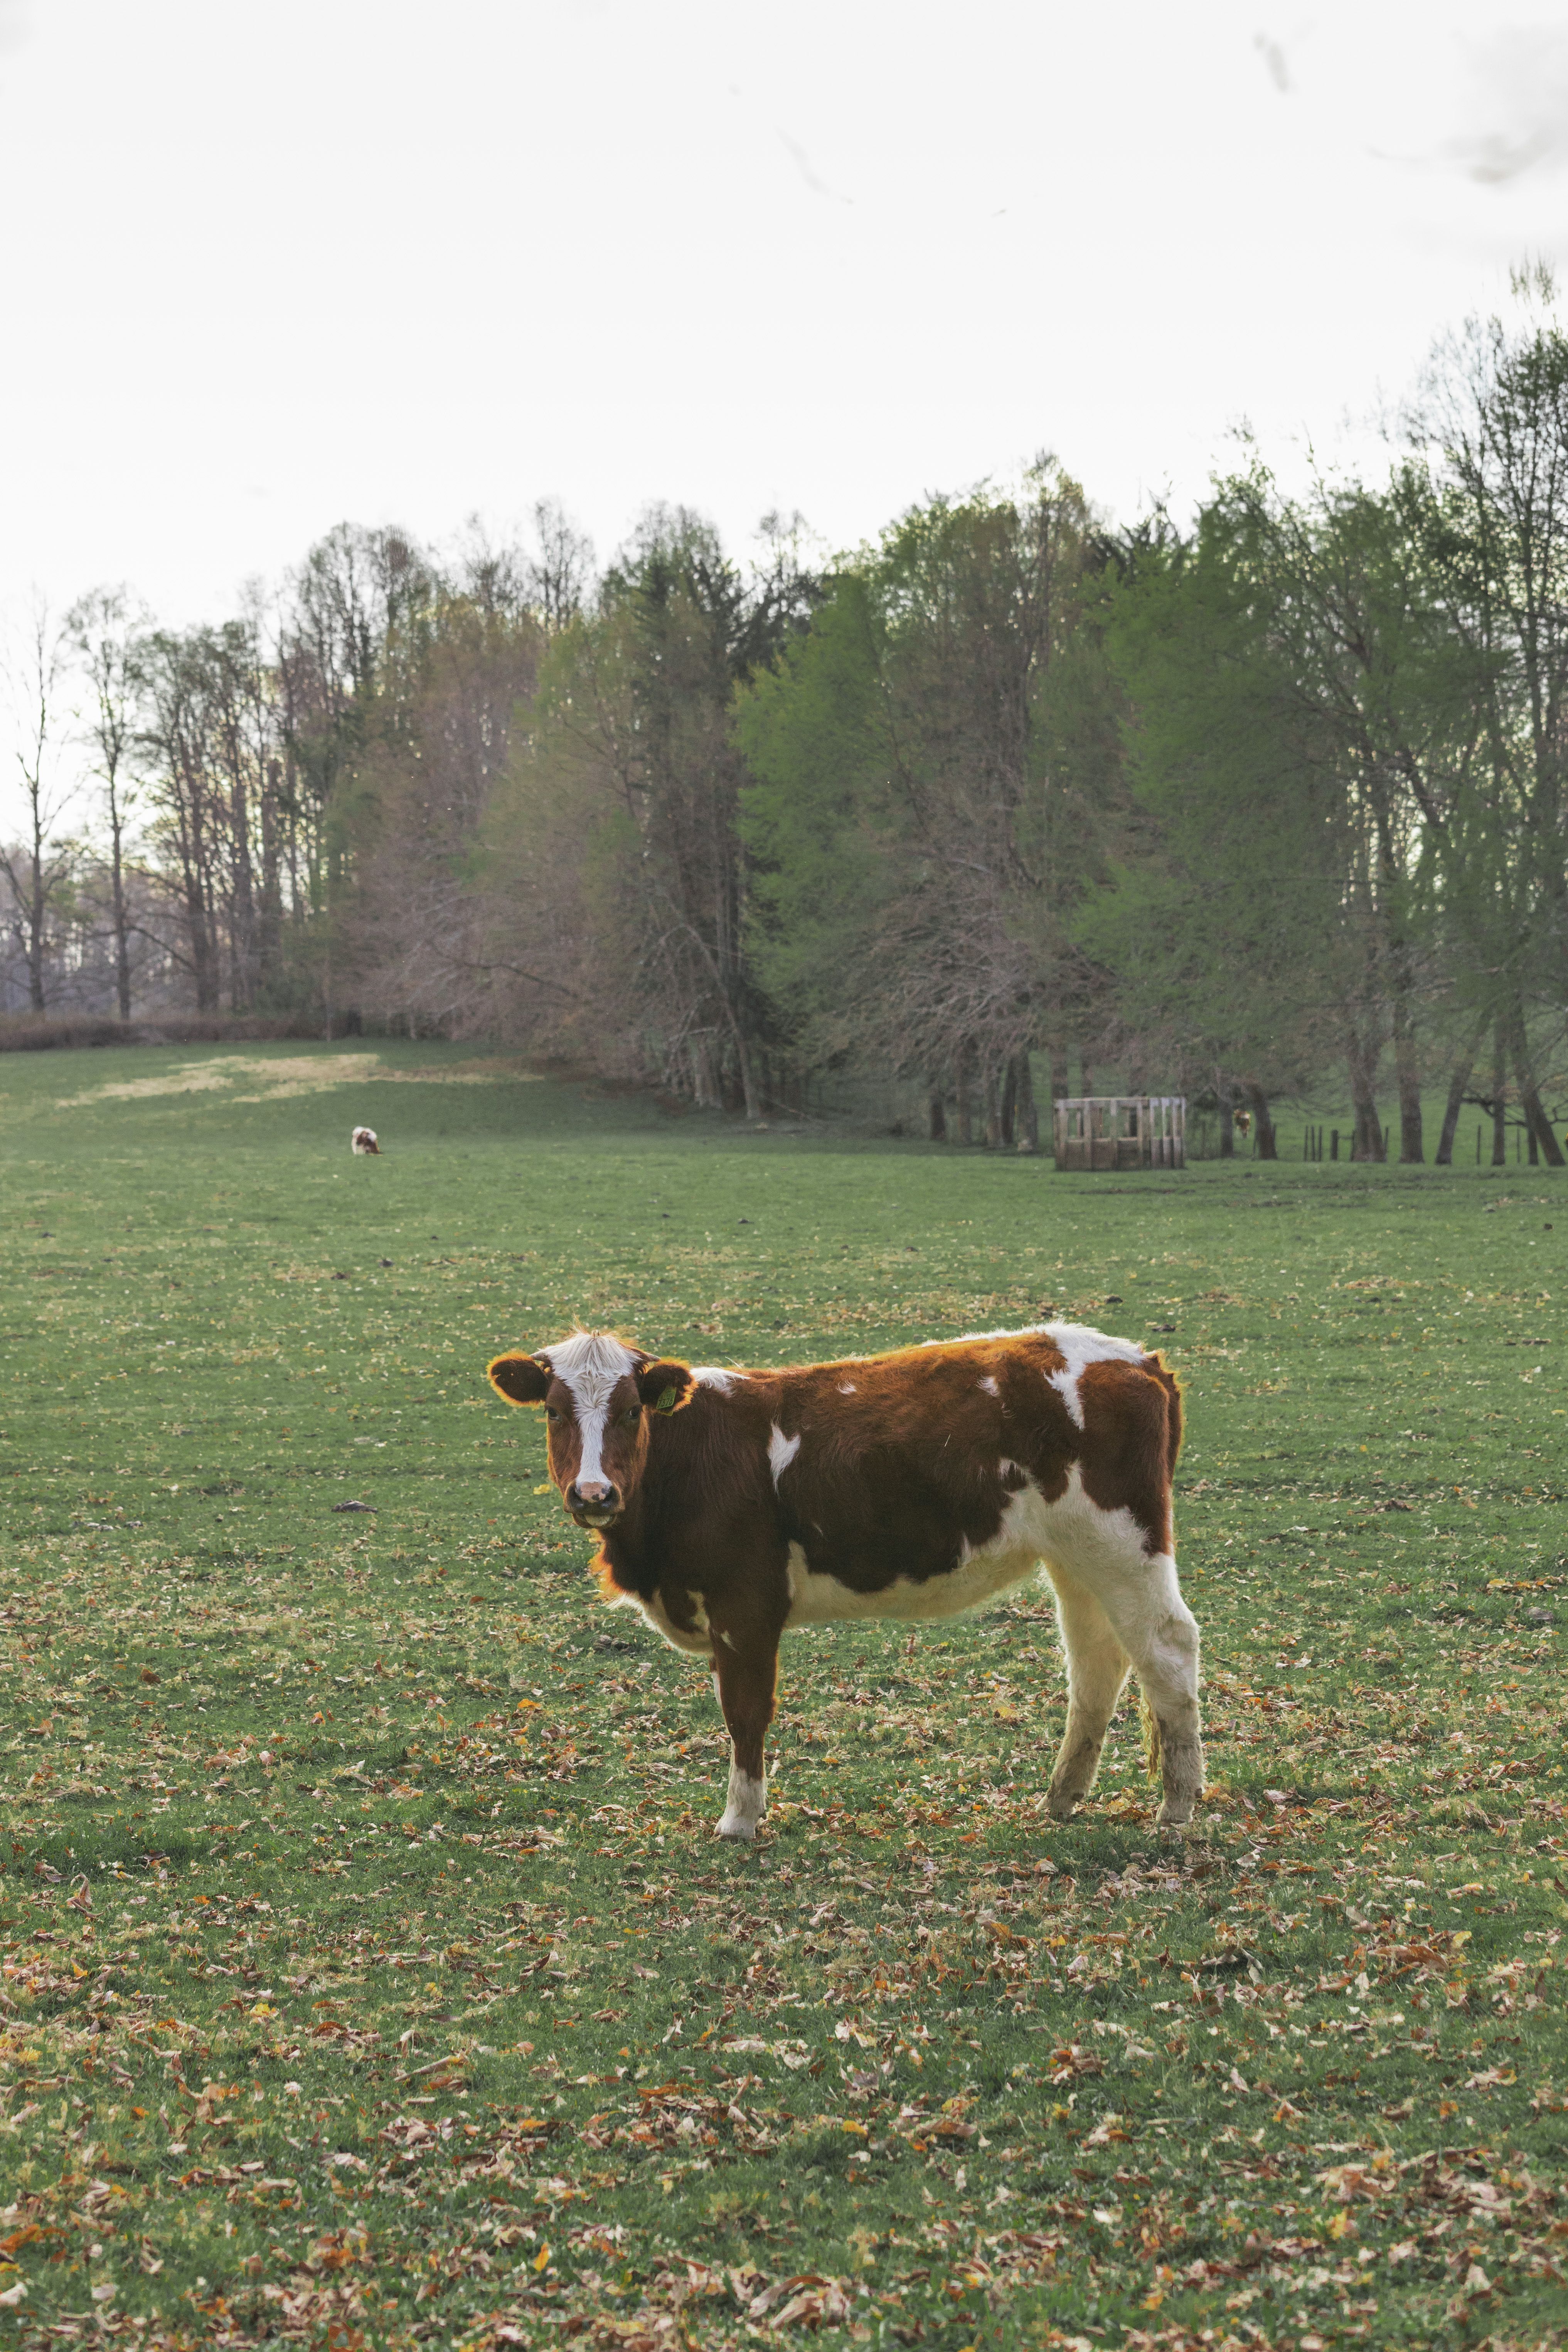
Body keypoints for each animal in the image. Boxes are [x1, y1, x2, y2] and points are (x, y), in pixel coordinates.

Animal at [486, 1323, 1203, 1841]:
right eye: (554, 1412)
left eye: (632, 1410)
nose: (593, 1494)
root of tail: (1136, 1359)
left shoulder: (744, 1607)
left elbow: (745, 1712)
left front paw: (738, 1820)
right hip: (1076, 1557)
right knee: (1096, 1663)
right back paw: (1059, 1799)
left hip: (1123, 1543)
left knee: (1166, 1648)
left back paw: (1177, 1807)